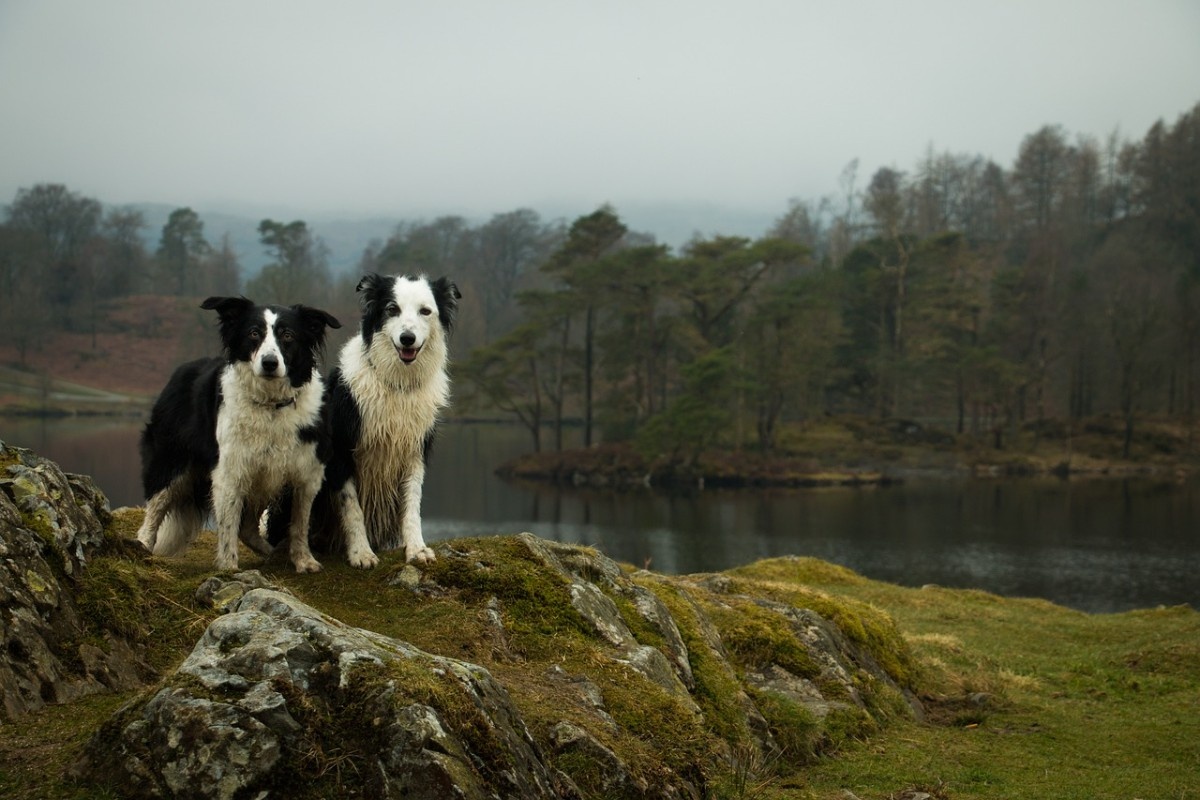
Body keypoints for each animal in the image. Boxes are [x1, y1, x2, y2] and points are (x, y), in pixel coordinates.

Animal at [137, 297, 340, 573]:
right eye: (254, 333)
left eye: (288, 335)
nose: (269, 363)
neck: (271, 405)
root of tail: (180, 371)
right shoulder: (230, 469)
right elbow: (228, 526)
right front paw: (229, 567)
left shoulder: (306, 469)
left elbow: (299, 522)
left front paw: (303, 560)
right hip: (171, 461)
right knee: (155, 508)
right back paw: (142, 546)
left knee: (249, 528)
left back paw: (273, 552)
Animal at [309, 273, 458, 568]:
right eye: (392, 309)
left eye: (425, 311)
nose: (407, 338)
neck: (398, 383)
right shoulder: (341, 449)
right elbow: (352, 506)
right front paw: (361, 552)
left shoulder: (414, 450)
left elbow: (412, 503)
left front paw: (416, 548)